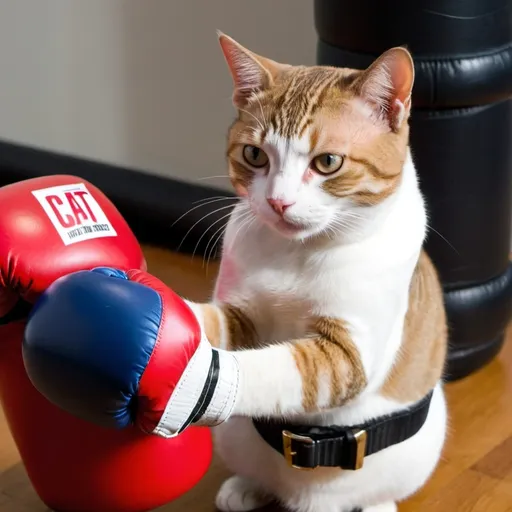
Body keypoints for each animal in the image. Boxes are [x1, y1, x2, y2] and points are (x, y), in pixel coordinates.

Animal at [185, 34, 448, 510]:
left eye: (327, 162)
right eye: (254, 154)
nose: (278, 201)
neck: (296, 254)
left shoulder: (347, 356)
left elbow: (271, 369)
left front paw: (201, 379)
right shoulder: (246, 317)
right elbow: (210, 322)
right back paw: (246, 487)